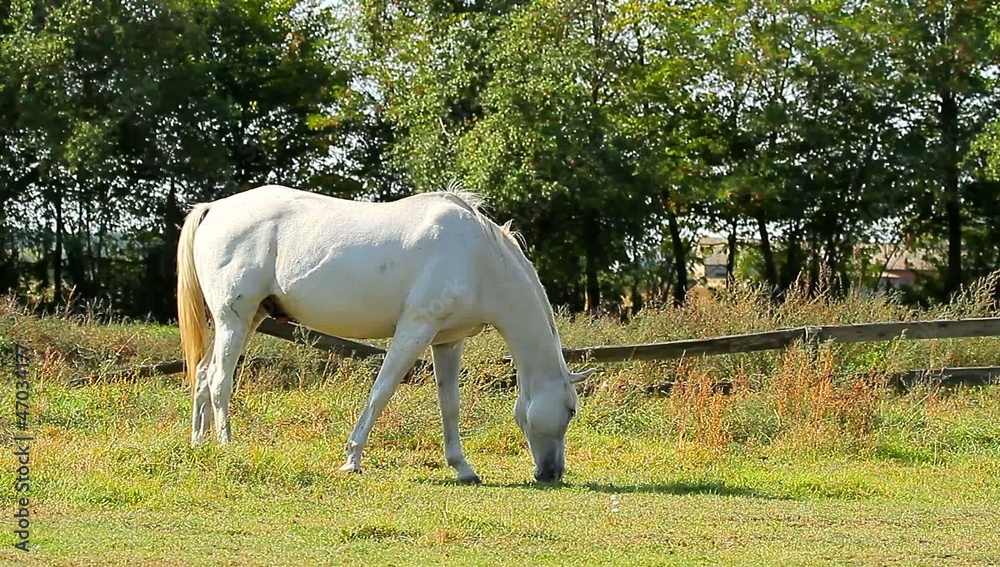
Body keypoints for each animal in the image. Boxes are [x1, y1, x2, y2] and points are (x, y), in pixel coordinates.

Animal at [176, 185, 593, 483]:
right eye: (571, 409)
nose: (552, 474)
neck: (478, 257)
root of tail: (214, 208)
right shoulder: (414, 330)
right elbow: (381, 392)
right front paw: (352, 459)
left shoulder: (447, 341)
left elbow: (449, 404)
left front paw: (463, 468)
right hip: (234, 320)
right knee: (219, 380)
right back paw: (226, 447)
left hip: (248, 319)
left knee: (202, 376)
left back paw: (199, 446)